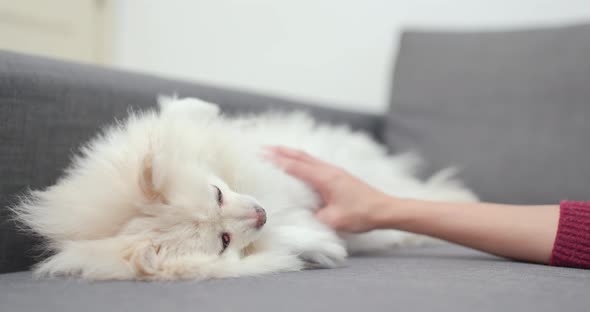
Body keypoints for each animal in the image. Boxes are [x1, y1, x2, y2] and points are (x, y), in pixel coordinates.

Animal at [11, 97, 478, 280]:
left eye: (217, 193)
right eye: (223, 240)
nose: (260, 213)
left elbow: (181, 115)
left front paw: (196, 109)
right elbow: (295, 239)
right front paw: (323, 247)